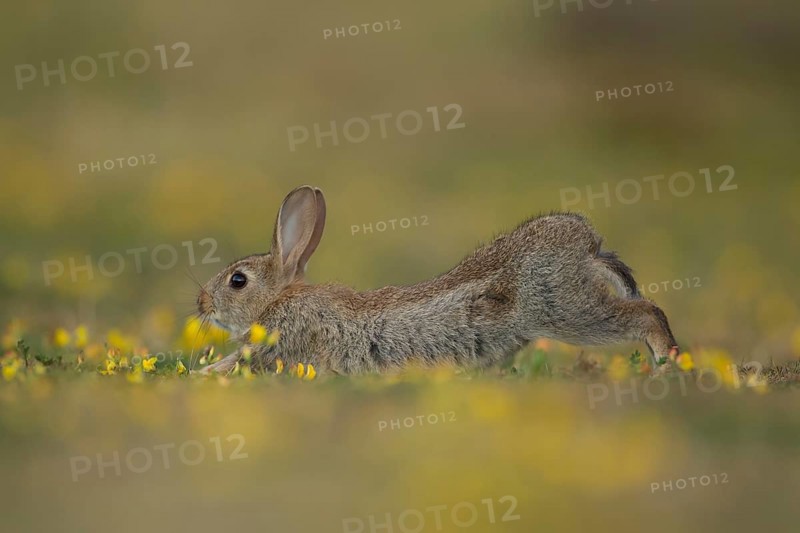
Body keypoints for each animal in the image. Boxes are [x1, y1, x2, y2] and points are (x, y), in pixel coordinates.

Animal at [195, 185, 679, 375]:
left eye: (237, 280)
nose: (201, 303)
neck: (277, 300)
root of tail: (587, 244)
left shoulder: (284, 341)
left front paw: (206, 373)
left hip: (565, 309)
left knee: (646, 313)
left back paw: (666, 360)